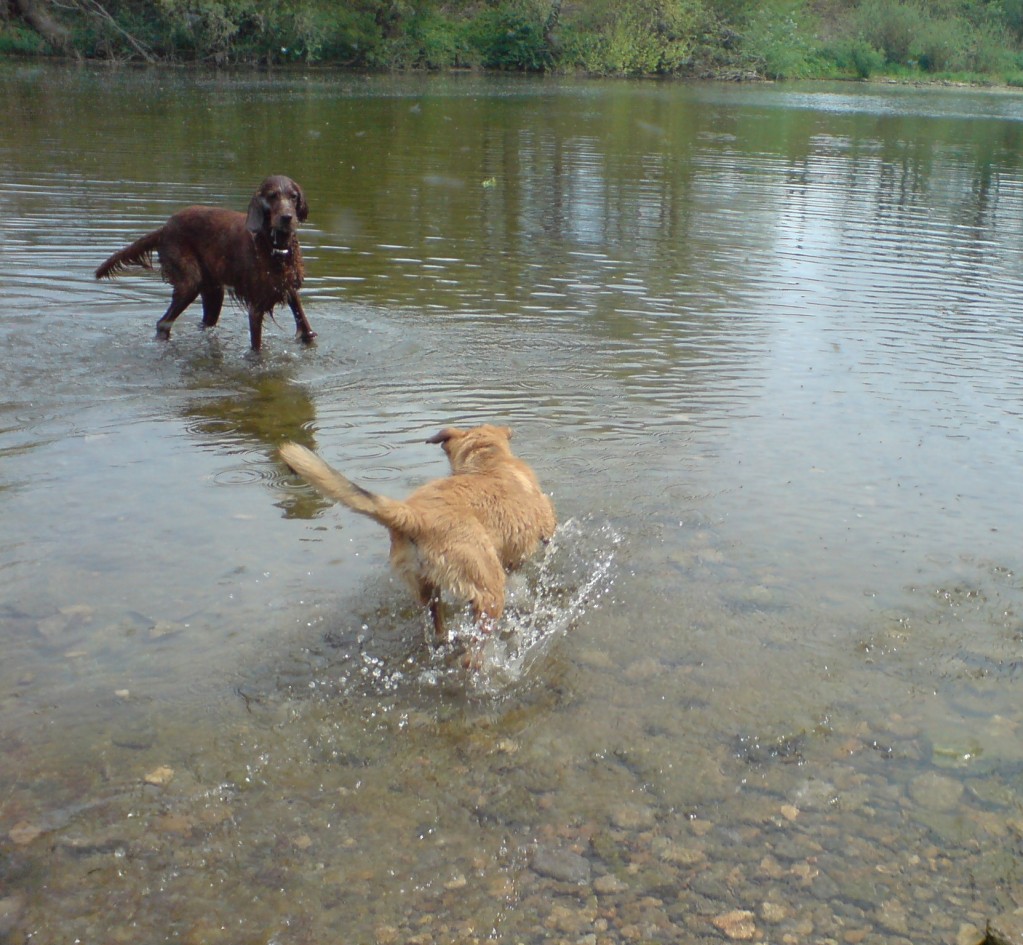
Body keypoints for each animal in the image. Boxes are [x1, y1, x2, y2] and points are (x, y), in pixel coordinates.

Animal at [95, 174, 315, 349]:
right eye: (272, 196)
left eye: (293, 196)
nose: (287, 217)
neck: (274, 247)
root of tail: (164, 228)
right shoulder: (256, 305)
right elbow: (256, 349)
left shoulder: (289, 288)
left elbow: (305, 328)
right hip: (189, 282)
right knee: (163, 323)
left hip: (213, 291)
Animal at [280, 425, 556, 662]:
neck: (486, 460)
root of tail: (415, 517)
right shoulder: (545, 521)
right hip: (489, 590)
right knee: (473, 655)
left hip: (427, 589)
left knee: (439, 628)